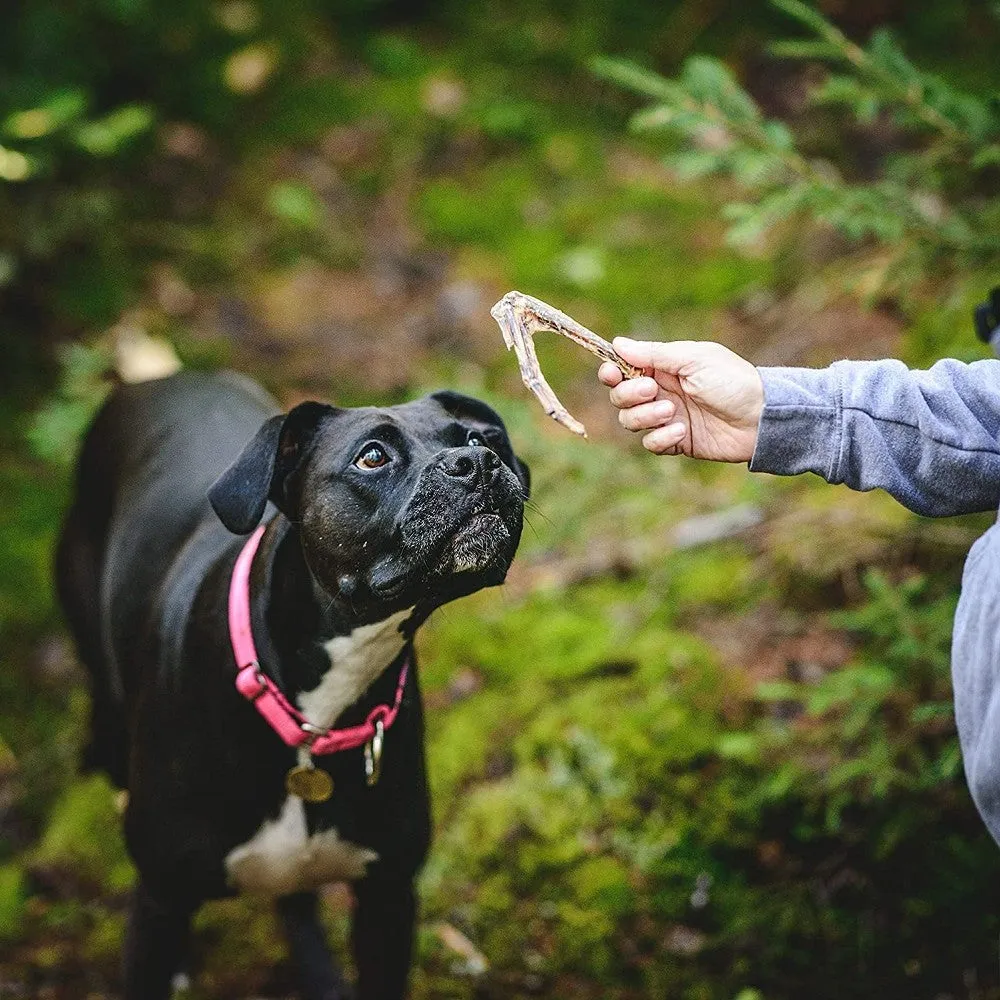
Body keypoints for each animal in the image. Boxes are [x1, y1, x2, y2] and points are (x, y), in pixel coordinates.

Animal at [55, 374, 528, 1000]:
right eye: (372, 456)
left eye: (479, 438)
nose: (478, 462)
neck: (315, 711)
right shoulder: (160, 898)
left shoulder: (388, 898)